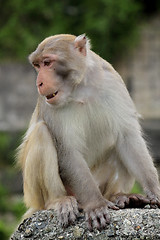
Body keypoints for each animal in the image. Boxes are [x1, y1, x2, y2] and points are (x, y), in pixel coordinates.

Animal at [17, 33, 160, 231]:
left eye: (47, 62)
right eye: (37, 65)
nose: (39, 83)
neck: (80, 87)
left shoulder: (113, 82)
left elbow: (127, 137)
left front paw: (154, 191)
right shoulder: (49, 103)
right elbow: (67, 151)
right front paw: (96, 205)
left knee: (117, 145)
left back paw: (120, 196)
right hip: (36, 194)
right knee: (42, 132)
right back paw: (59, 201)